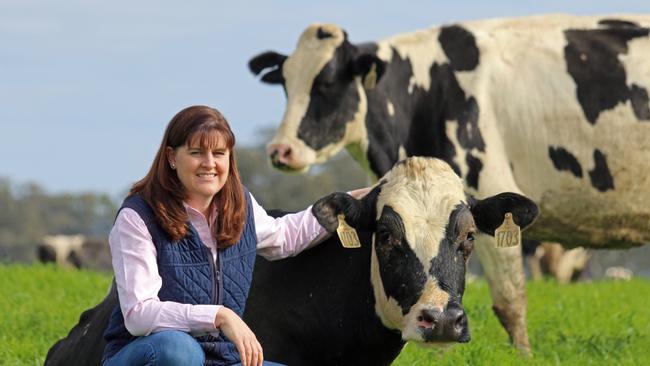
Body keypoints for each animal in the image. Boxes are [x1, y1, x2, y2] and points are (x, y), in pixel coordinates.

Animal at [249, 14, 648, 352]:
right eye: (286, 84)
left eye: (327, 82)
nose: (281, 150)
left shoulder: (491, 187)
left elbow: (510, 300)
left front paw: (524, 355)